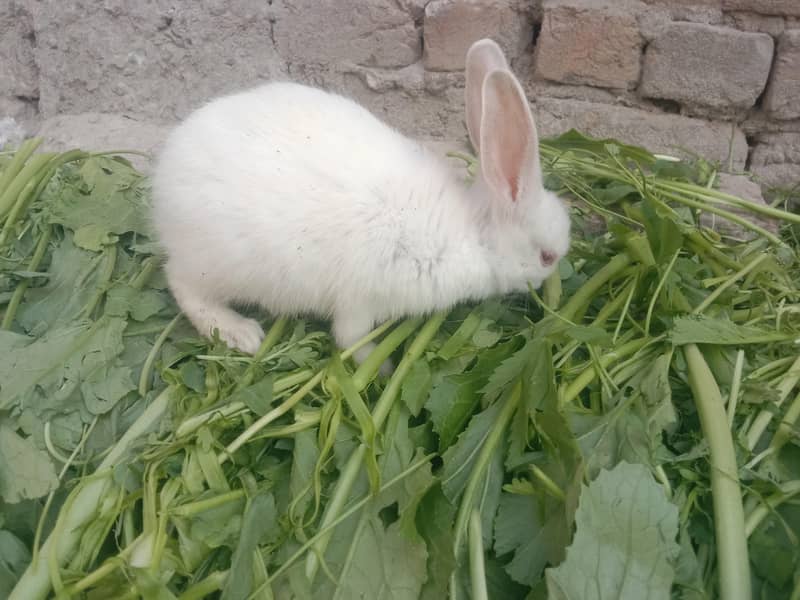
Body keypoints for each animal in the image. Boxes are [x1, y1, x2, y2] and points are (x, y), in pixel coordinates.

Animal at [150, 38, 571, 366]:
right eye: (546, 257)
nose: (552, 283)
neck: (472, 234)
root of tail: (163, 179)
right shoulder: (361, 301)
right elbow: (351, 340)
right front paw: (380, 368)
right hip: (220, 264)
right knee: (180, 282)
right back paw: (240, 333)